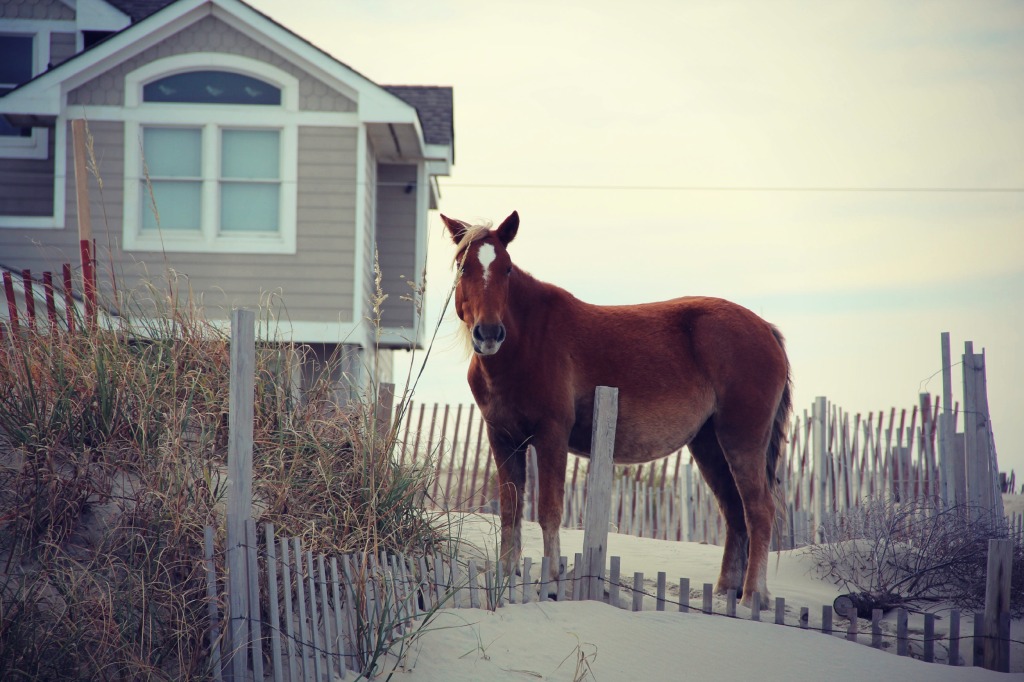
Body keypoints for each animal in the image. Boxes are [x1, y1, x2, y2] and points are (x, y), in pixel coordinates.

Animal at [440, 208, 790, 606]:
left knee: (759, 510)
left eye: (507, 269)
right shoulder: (502, 438)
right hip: (708, 444)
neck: (527, 342)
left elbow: (549, 511)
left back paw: (751, 596)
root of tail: (764, 328)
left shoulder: (551, 436)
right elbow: (510, 511)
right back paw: (726, 591)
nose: (488, 333)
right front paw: (506, 577)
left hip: (741, 440)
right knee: (734, 511)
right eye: (463, 267)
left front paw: (553, 581)